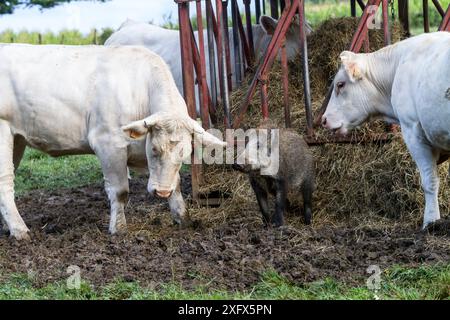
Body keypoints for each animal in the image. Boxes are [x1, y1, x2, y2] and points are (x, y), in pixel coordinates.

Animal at [0, 43, 225, 241]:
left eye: (185, 154)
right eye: (153, 149)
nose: (161, 192)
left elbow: (176, 184)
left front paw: (183, 218)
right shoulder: (109, 144)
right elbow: (120, 191)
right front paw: (119, 228)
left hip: (17, 139)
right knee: (5, 182)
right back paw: (20, 230)